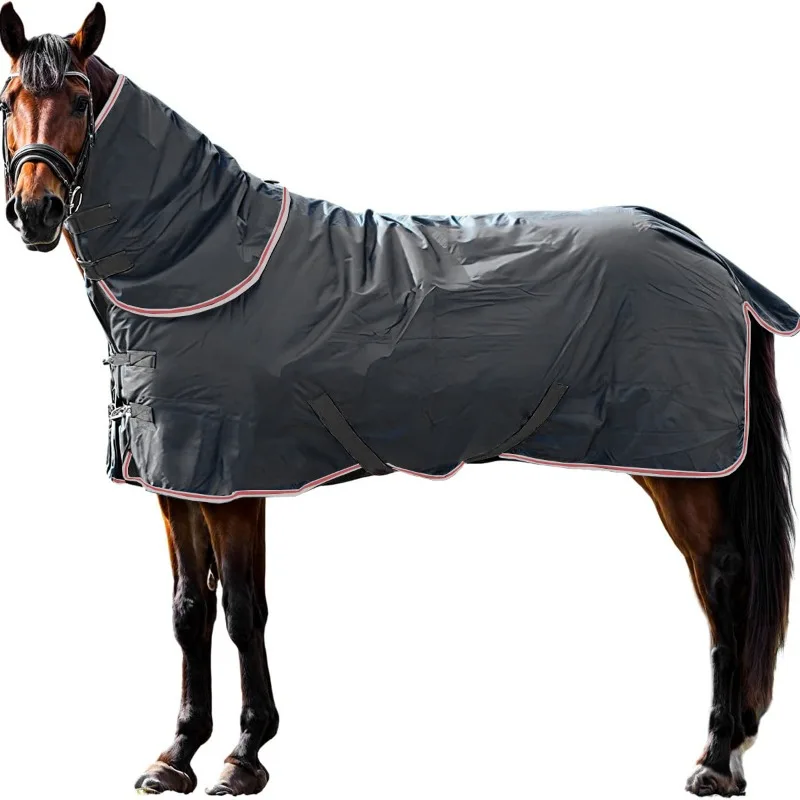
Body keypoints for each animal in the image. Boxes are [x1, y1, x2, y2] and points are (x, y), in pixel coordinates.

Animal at [1, 3, 795, 797]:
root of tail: (710, 257)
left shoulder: (233, 481)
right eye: (9, 100)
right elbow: (189, 611)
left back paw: (715, 759)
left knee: (723, 583)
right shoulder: (176, 479)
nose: (36, 211)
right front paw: (176, 755)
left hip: (682, 468)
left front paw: (244, 754)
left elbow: (244, 612)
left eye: (80, 101)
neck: (201, 262)